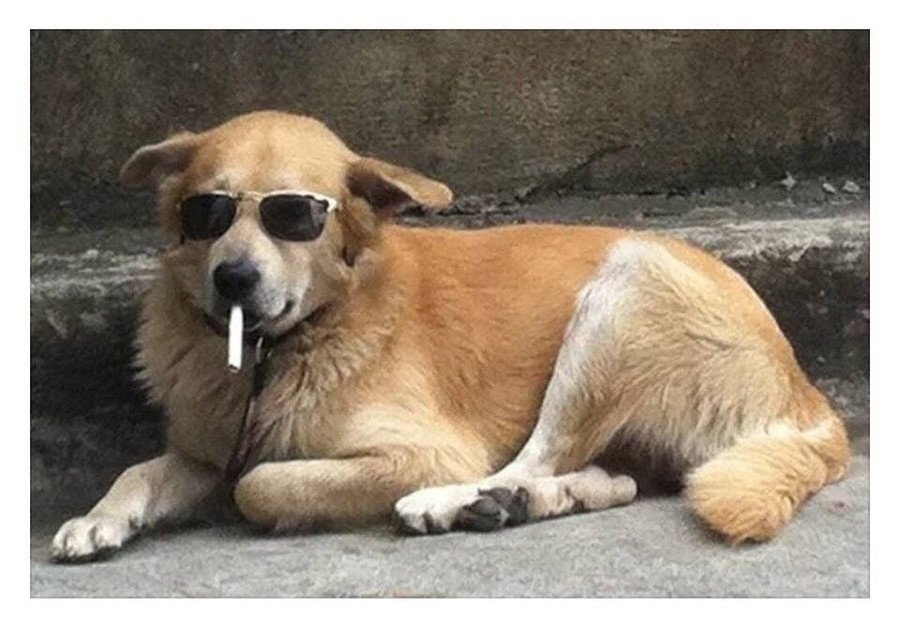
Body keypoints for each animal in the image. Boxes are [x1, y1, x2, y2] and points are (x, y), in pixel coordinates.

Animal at [51, 111, 850, 561]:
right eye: (207, 211)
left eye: (294, 215)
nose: (234, 278)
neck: (288, 344)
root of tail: (808, 395)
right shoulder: (204, 450)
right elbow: (142, 471)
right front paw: (97, 519)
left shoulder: (424, 449)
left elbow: (260, 484)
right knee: (615, 479)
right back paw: (518, 504)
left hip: (622, 296)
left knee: (534, 455)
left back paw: (455, 502)